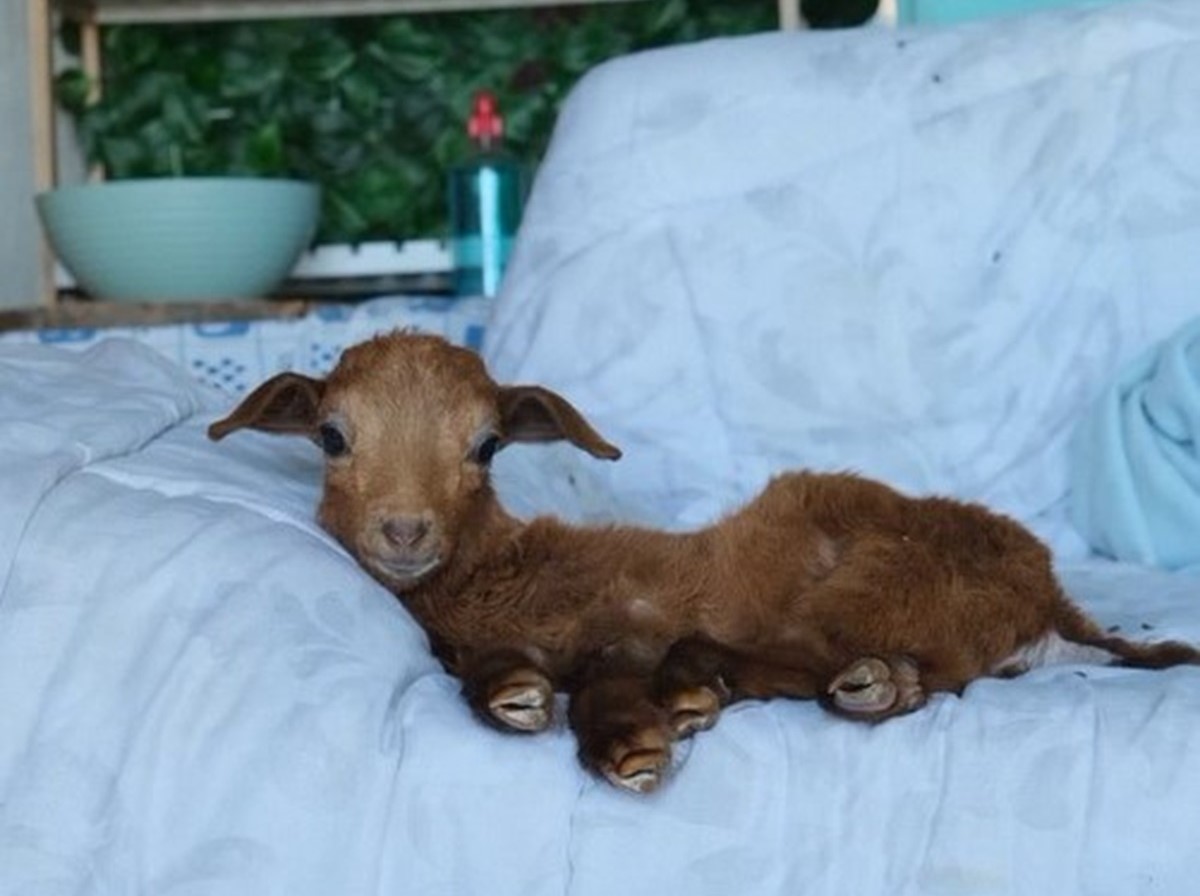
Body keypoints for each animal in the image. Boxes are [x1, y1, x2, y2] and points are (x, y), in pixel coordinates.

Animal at [211, 328, 1195, 791]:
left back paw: (732, 687)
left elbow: (611, 670)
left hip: (877, 573)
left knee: (820, 663)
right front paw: (515, 694)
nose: (406, 531)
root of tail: (1050, 599)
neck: (503, 573)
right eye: (332, 436)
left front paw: (630, 744)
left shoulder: (627, 619)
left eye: (486, 446)